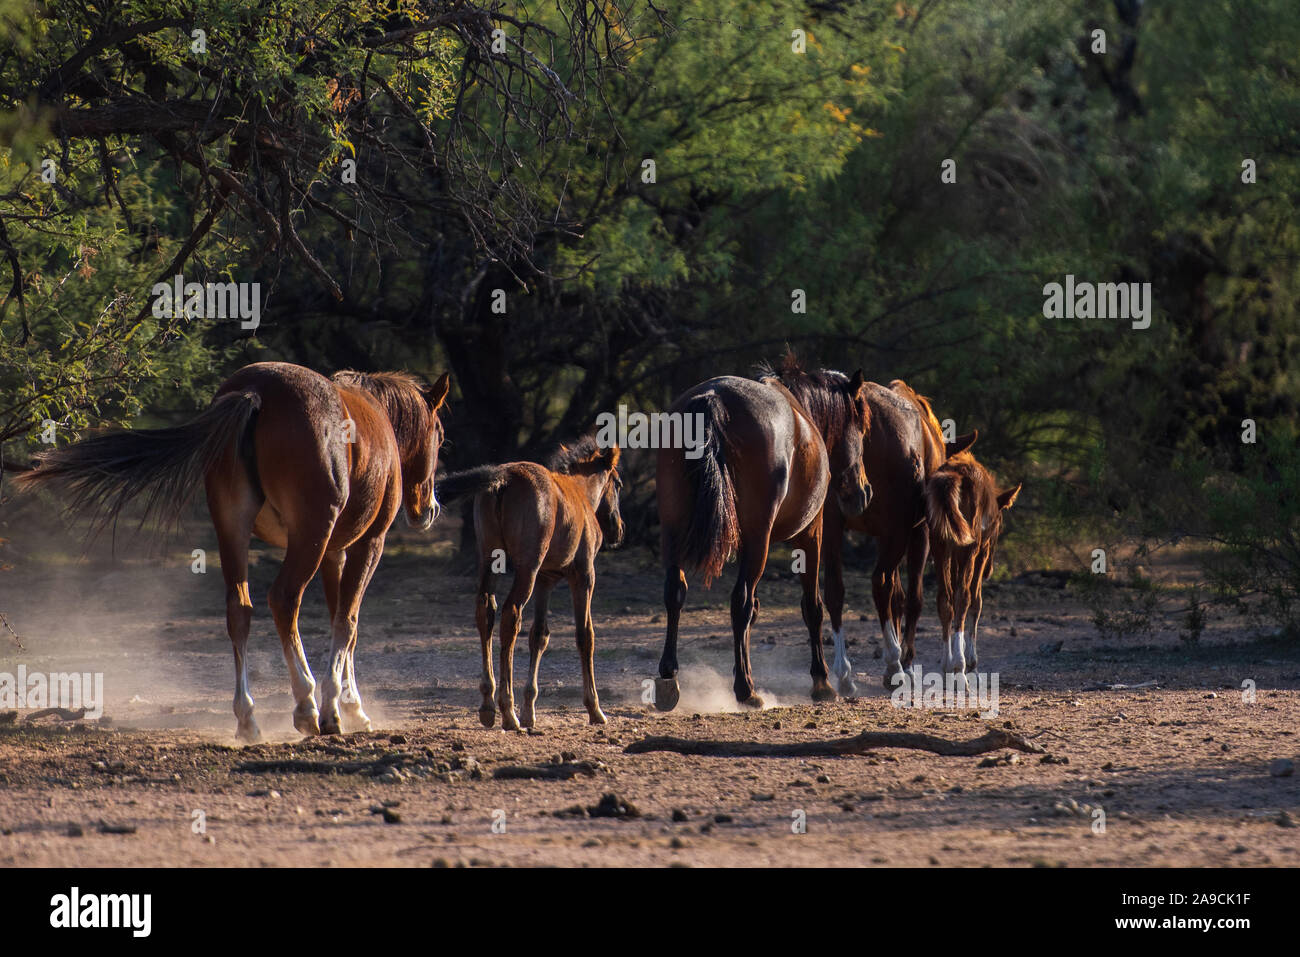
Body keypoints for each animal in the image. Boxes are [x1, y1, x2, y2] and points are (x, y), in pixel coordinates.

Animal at [12, 358, 452, 738]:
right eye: (440, 435)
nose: (429, 509)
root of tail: (256, 392)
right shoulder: (366, 545)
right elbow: (348, 623)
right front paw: (340, 709)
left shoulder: (335, 552)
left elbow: (339, 623)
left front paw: (351, 704)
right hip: (309, 535)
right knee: (283, 600)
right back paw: (307, 706)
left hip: (233, 528)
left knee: (239, 609)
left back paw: (247, 718)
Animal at [436, 442, 624, 733]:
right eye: (618, 484)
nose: (618, 530)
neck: (580, 493)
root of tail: (503, 478)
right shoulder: (583, 575)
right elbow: (585, 635)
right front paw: (595, 709)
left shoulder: (546, 579)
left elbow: (539, 635)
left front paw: (529, 710)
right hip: (527, 568)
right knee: (511, 615)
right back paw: (507, 711)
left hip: (490, 559)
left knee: (485, 611)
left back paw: (488, 705)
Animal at [655, 356, 868, 712]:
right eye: (863, 429)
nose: (863, 493)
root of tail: (713, 399)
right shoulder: (811, 534)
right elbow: (812, 607)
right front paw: (821, 682)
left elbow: (753, 612)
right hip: (760, 539)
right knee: (739, 600)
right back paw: (746, 690)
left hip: (674, 531)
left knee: (675, 592)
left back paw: (670, 679)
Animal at [816, 377, 972, 691]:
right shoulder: (918, 532)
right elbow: (913, 598)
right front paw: (907, 661)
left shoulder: (881, 535)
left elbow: (896, 596)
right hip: (902, 532)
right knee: (881, 583)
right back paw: (895, 663)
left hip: (835, 526)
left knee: (837, 590)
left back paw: (845, 672)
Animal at [930, 452, 1019, 686]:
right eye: (999, 524)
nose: (990, 570)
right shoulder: (979, 552)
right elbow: (976, 602)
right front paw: (972, 664)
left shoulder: (952, 552)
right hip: (970, 548)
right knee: (964, 597)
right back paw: (960, 668)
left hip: (939, 545)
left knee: (944, 599)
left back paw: (946, 666)